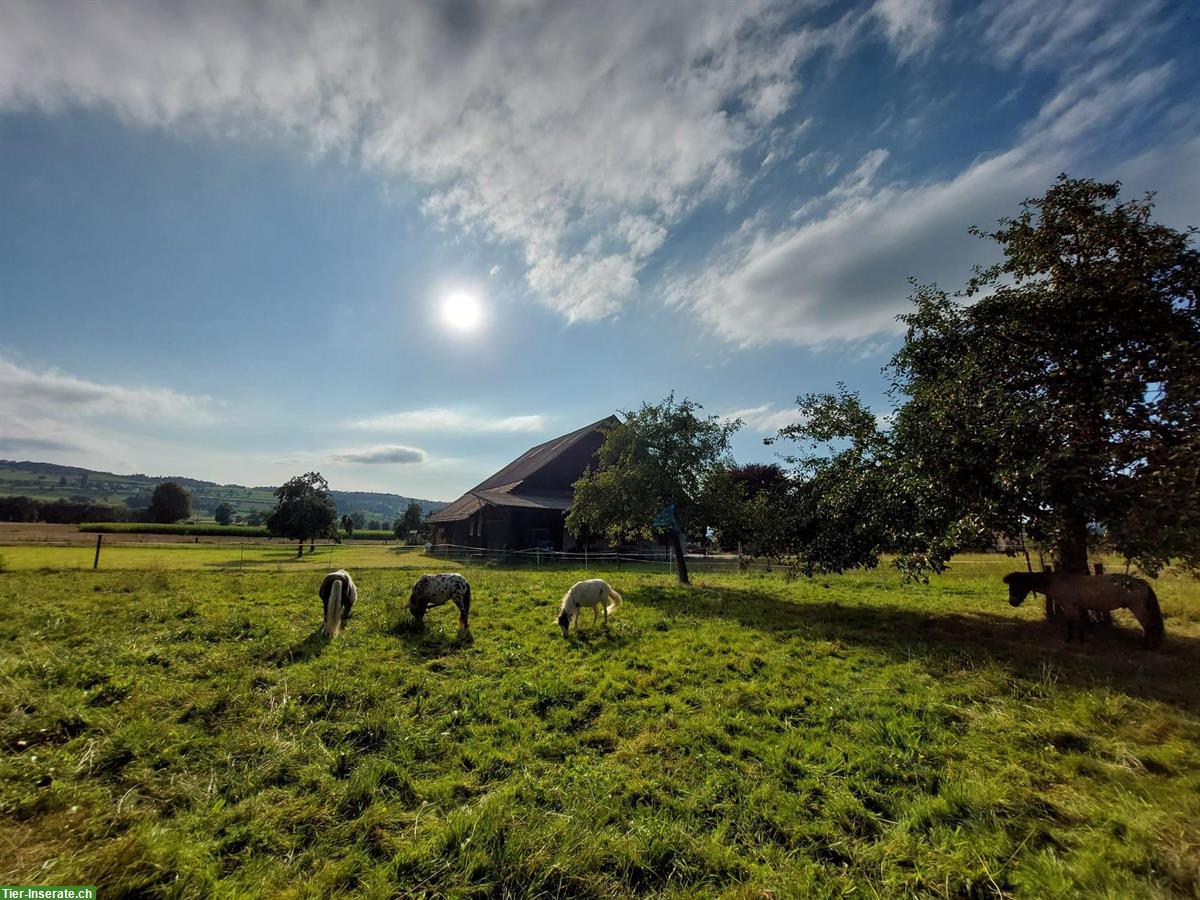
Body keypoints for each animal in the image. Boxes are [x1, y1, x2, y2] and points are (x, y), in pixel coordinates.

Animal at [1003, 573, 1161, 652]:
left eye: (1017, 584)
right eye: (1011, 585)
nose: (1012, 602)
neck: (1059, 582)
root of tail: (1141, 583)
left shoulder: (1070, 606)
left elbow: (1074, 623)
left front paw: (1074, 640)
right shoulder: (1070, 607)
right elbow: (1073, 623)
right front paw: (1077, 639)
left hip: (1137, 608)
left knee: (1148, 625)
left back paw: (1146, 646)